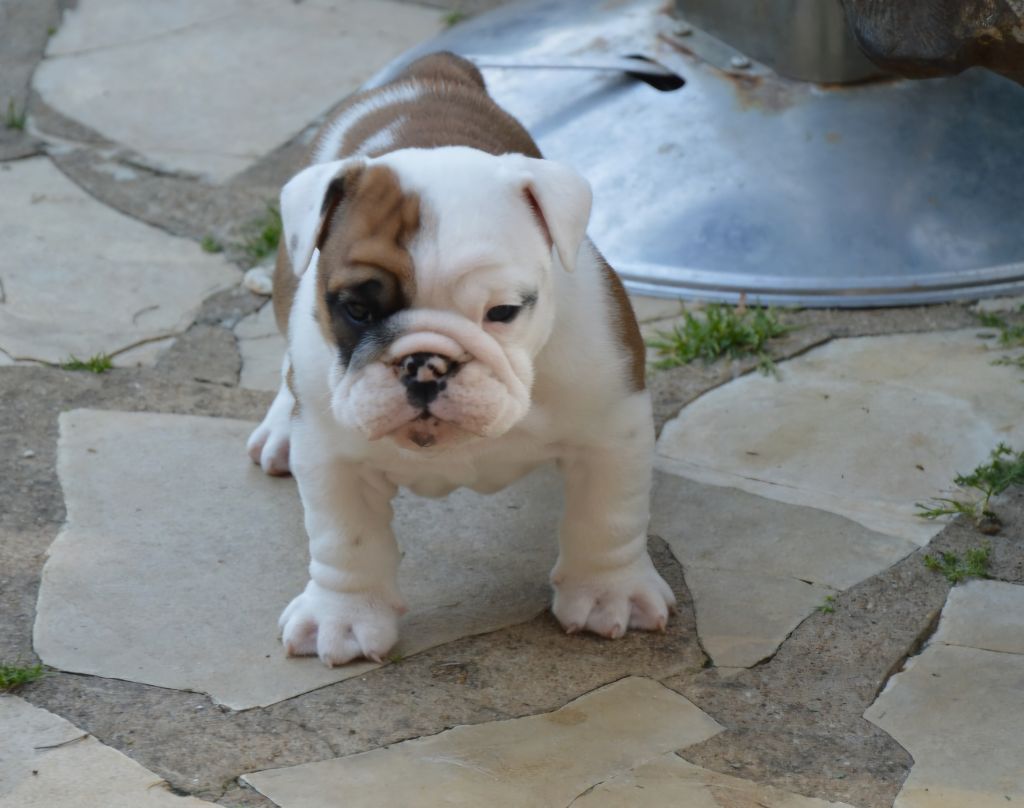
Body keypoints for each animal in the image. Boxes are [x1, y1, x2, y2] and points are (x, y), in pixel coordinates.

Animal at [247, 52, 675, 666]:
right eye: (356, 309)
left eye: (503, 311)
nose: (425, 363)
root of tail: (432, 69)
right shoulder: (333, 456)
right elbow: (345, 539)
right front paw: (344, 617)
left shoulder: (612, 429)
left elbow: (607, 517)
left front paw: (608, 592)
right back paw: (280, 426)